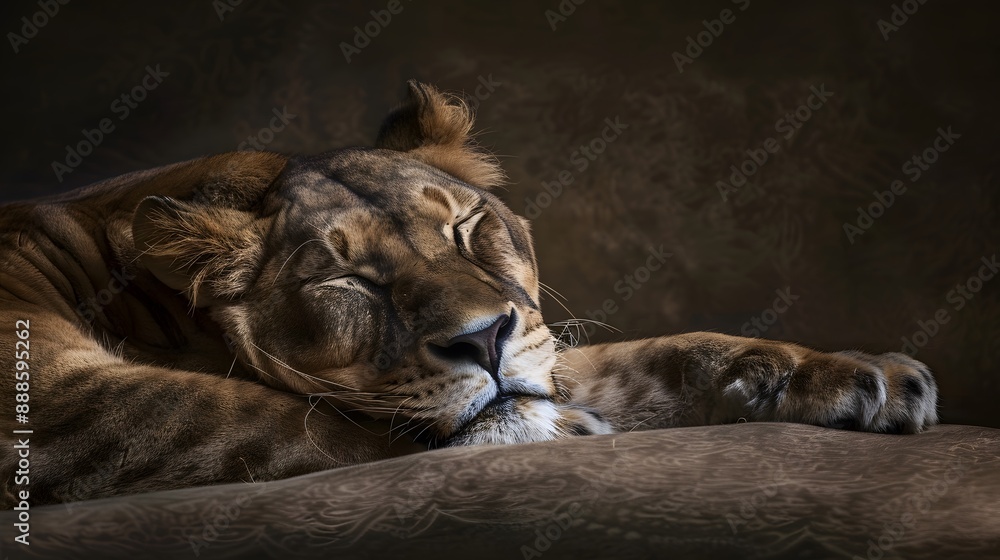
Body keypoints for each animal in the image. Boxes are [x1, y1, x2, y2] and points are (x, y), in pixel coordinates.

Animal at [0, 81, 938, 507]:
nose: (483, 340)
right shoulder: (55, 390)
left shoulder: (547, 350)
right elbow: (292, 420)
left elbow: (665, 355)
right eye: (344, 279)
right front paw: (562, 435)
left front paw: (849, 374)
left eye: (463, 228)